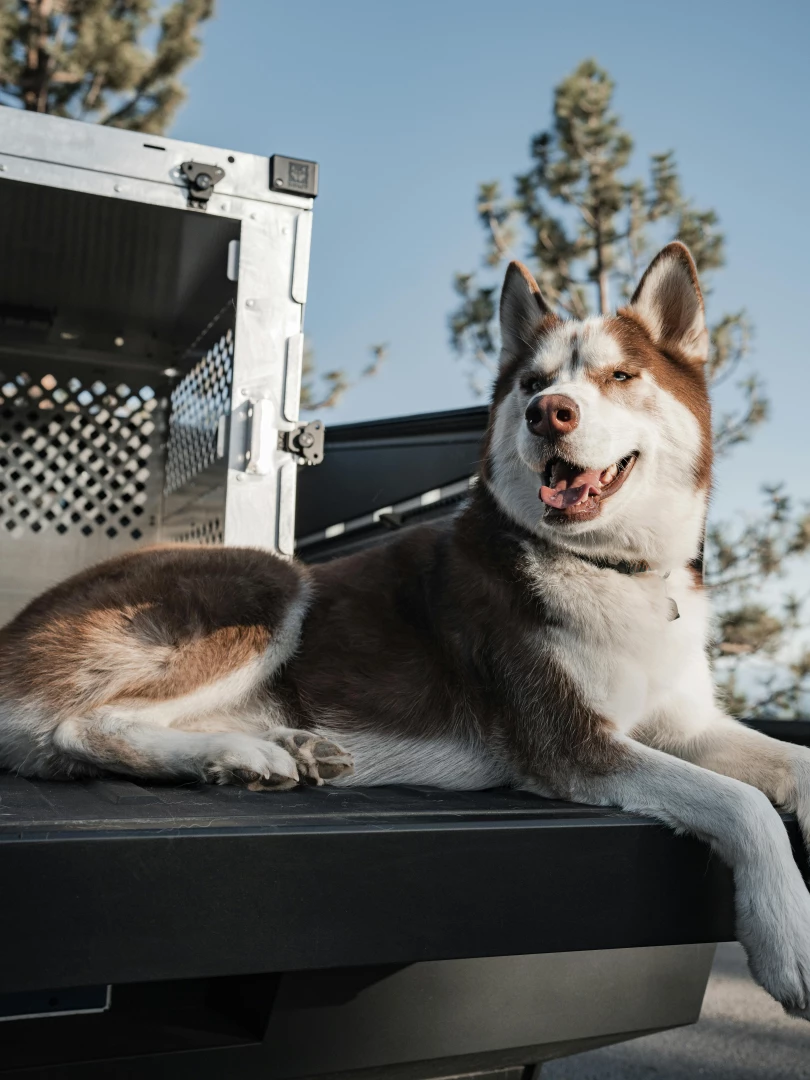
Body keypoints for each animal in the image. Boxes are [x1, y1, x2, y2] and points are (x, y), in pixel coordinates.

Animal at [1, 240, 810, 1015]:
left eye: (619, 376)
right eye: (532, 384)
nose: (550, 412)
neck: (609, 568)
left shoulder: (683, 725)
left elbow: (789, 763)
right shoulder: (574, 745)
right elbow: (739, 802)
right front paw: (788, 935)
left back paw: (283, 748)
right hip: (270, 580)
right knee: (80, 726)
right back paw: (239, 756)